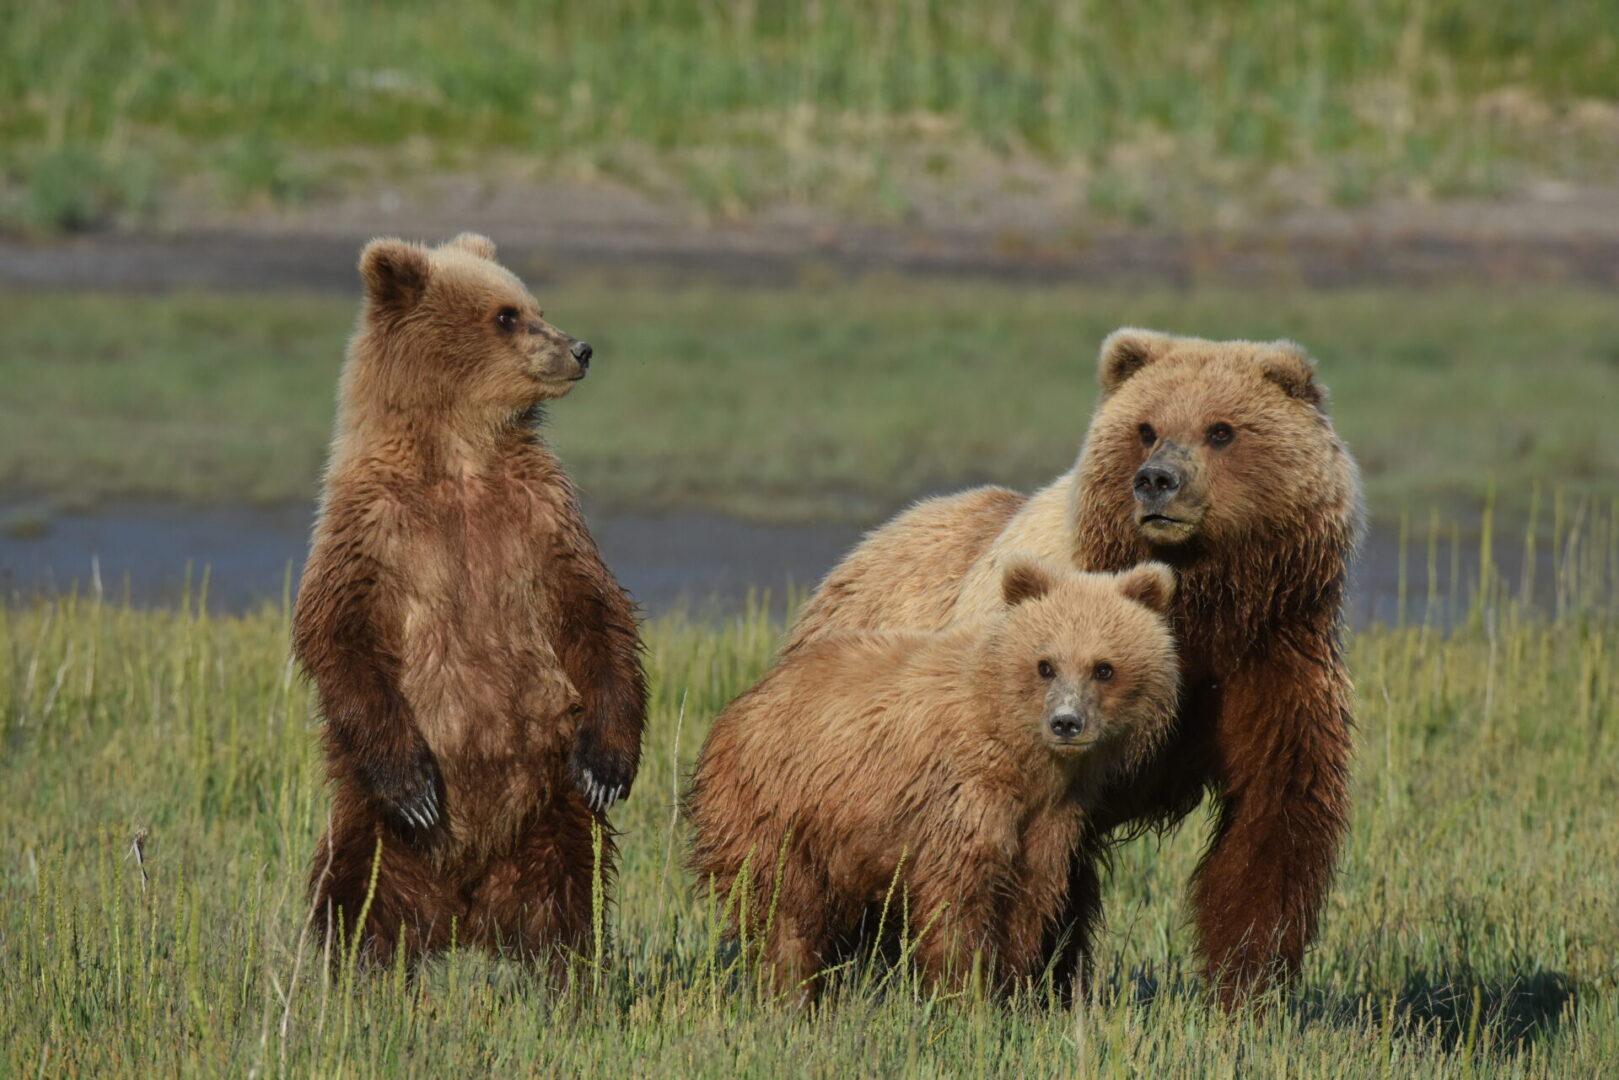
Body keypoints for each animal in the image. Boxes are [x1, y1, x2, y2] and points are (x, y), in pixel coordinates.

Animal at [294, 233, 647, 965]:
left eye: (531, 306)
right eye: (505, 316)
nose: (579, 348)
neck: (458, 457)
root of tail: (465, 913)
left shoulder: (540, 515)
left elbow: (596, 611)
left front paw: (608, 763)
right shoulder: (371, 525)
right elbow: (335, 629)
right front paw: (414, 786)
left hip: (550, 804)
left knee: (568, 894)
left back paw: (567, 968)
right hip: (373, 825)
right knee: (355, 889)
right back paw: (355, 964)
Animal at [683, 563, 1178, 1010]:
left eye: (1104, 668)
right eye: (1046, 665)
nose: (1066, 722)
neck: (1024, 757)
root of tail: (747, 698)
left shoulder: (1052, 816)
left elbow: (1030, 899)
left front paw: (1016, 990)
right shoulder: (963, 794)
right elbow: (958, 898)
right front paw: (966, 995)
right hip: (782, 805)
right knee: (785, 908)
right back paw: (791, 993)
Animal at [780, 331, 1353, 1016]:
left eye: (1221, 430)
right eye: (1146, 427)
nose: (1156, 480)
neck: (1203, 603)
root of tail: (869, 544)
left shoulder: (1272, 659)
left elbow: (1271, 819)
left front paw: (1247, 991)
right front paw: (1038, 982)